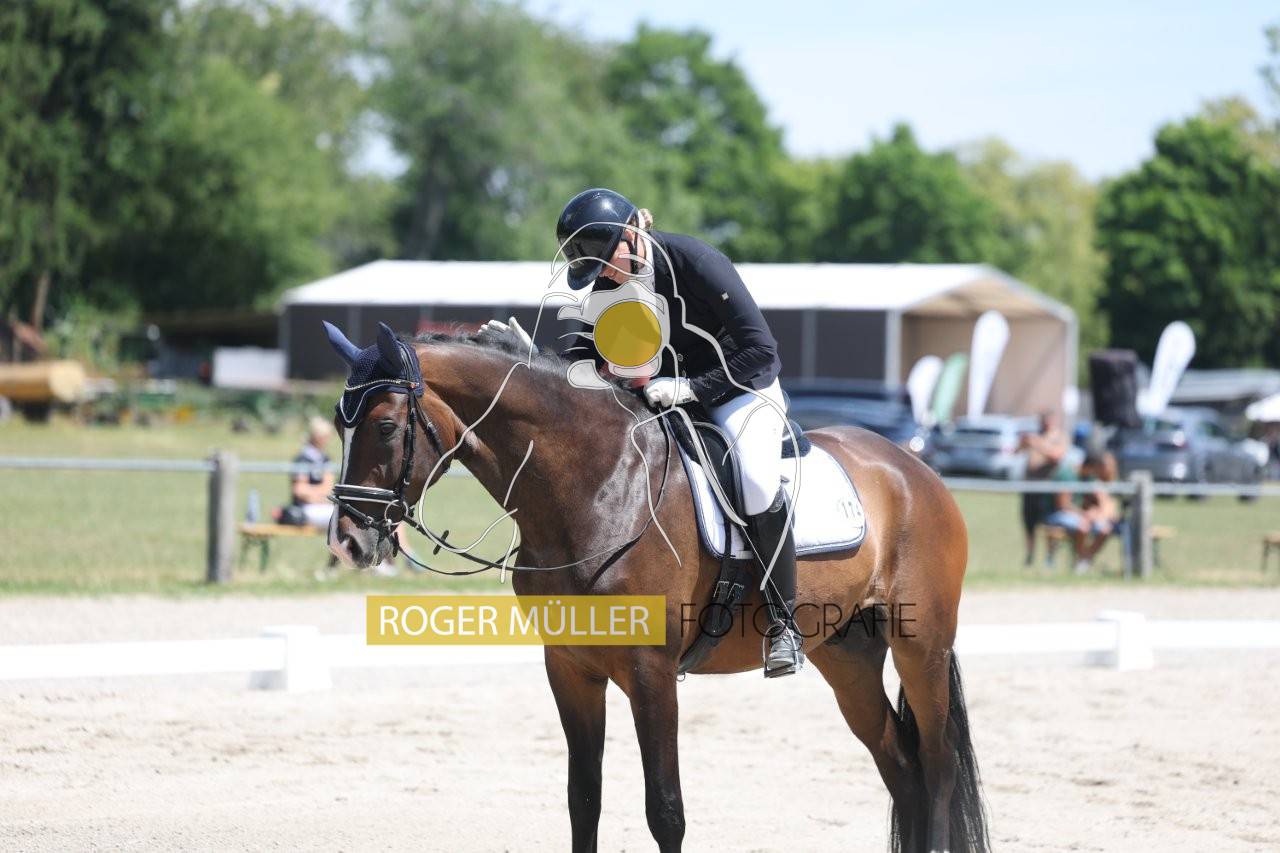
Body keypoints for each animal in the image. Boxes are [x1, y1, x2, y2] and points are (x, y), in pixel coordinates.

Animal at [325, 324, 989, 853]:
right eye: (338, 423)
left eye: (386, 426)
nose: (346, 541)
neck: (595, 488)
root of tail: (916, 470)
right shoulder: (570, 668)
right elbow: (583, 798)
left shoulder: (652, 672)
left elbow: (665, 811)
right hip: (846, 656)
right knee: (901, 766)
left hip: (921, 647)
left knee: (937, 767)